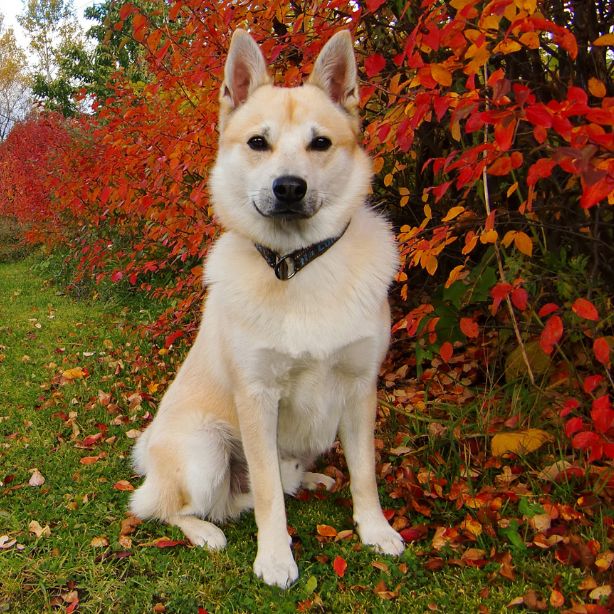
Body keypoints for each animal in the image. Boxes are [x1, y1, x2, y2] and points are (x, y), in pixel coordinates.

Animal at [130, 27, 406, 588]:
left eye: (320, 143)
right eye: (258, 142)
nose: (289, 187)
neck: (298, 266)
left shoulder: (359, 387)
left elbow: (364, 474)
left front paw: (374, 529)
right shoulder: (257, 398)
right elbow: (267, 496)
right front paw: (276, 558)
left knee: (269, 488)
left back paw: (315, 480)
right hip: (206, 450)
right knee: (170, 508)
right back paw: (204, 532)